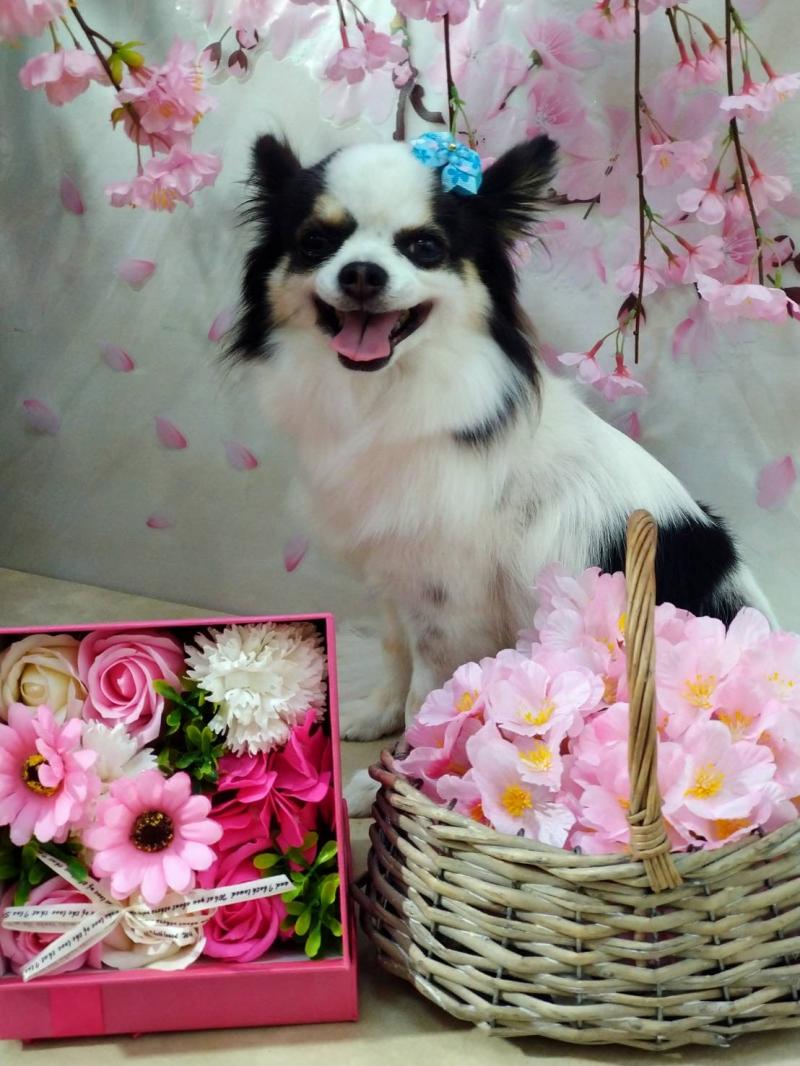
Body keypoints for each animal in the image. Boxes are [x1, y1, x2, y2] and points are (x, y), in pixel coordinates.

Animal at [229, 133, 774, 812]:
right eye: (315, 242)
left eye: (425, 247)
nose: (361, 272)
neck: (384, 398)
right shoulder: (397, 575)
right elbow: (393, 651)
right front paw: (375, 715)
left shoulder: (446, 605)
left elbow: (429, 694)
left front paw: (387, 779)